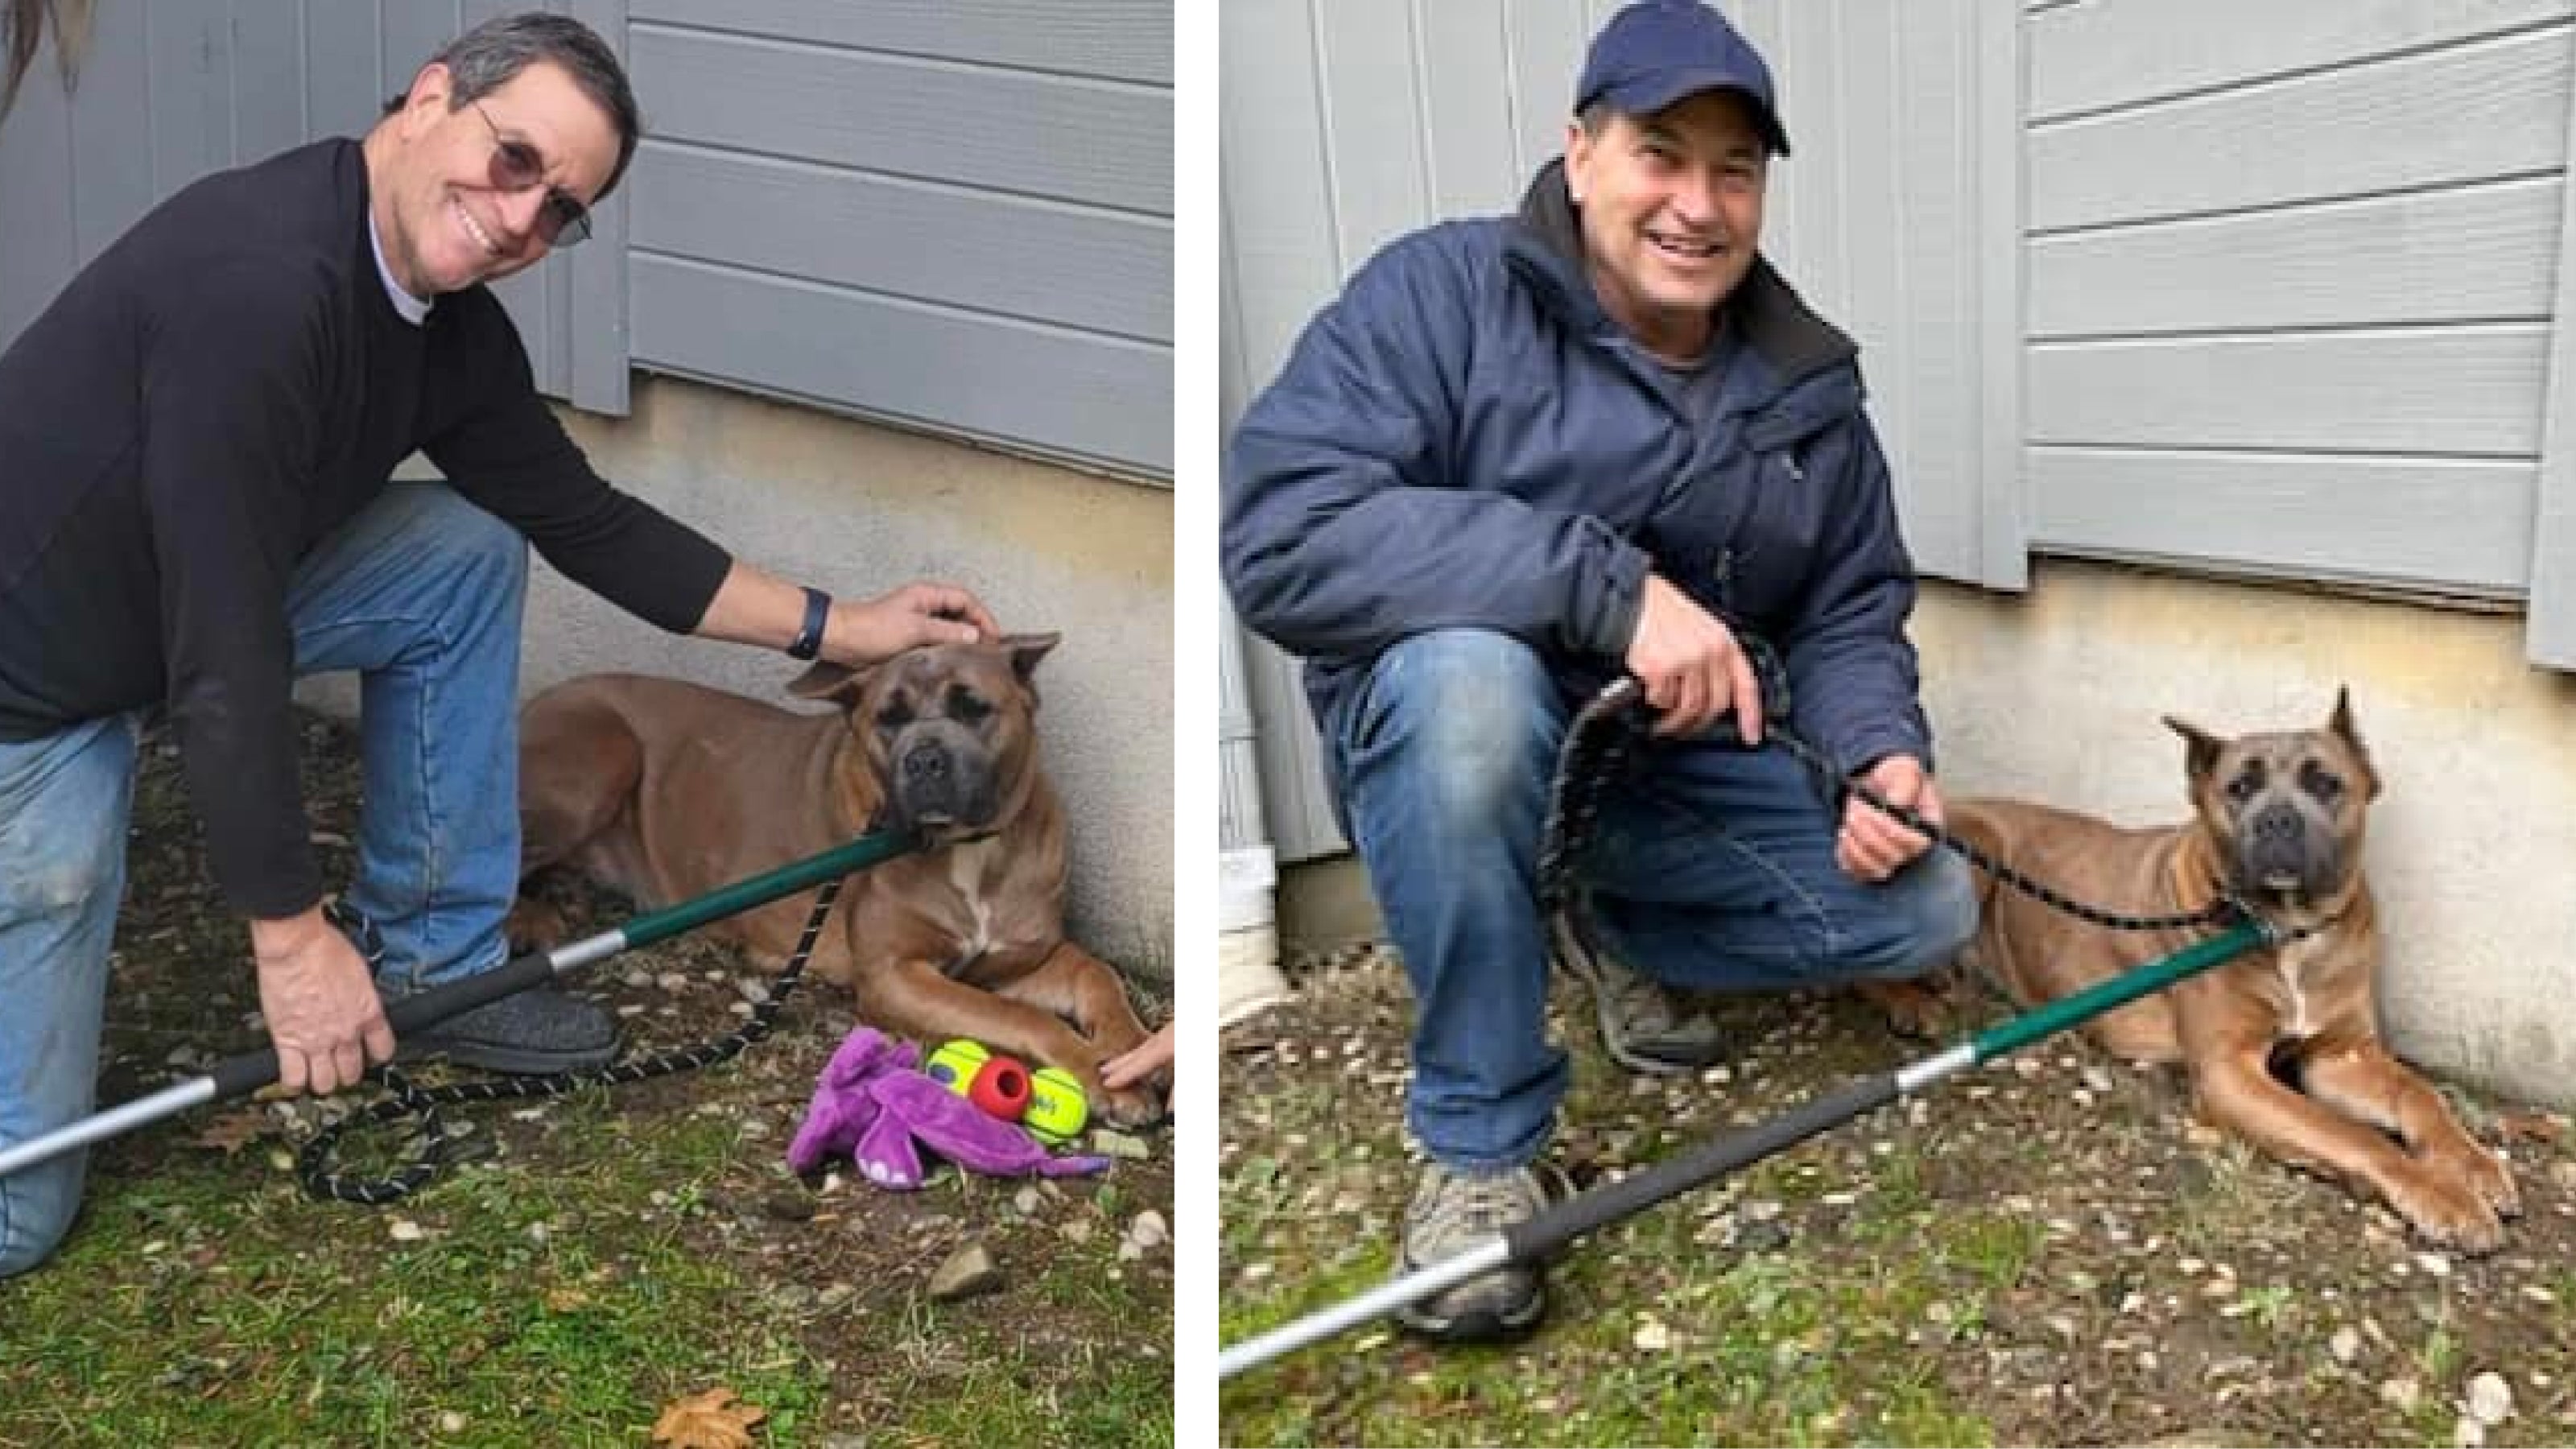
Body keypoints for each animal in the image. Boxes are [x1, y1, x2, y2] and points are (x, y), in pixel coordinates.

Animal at [507, 634, 1164, 1129]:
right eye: (887, 719)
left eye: (972, 707)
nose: (923, 760)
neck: (973, 852)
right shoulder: (897, 977)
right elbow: (1023, 1018)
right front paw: (1097, 1073)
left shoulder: (1016, 960)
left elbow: (1096, 974)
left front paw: (1135, 1052)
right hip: (599, 753)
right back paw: (528, 920)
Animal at [1937, 696, 2514, 1248]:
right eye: (2239, 787)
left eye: (2325, 783)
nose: (2276, 820)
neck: (2288, 931)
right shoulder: (2230, 1072)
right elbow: (2347, 1132)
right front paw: (2441, 1192)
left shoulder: (2342, 1054)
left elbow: (2421, 1093)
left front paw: (2473, 1163)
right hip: (1974, 847)